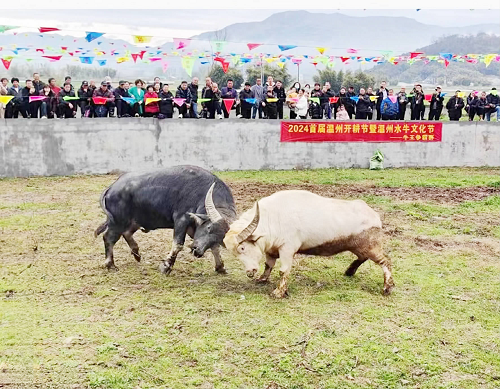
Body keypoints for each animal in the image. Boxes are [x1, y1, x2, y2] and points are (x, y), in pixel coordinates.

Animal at [94, 164, 237, 272]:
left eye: (221, 237)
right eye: (208, 227)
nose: (197, 251)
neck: (201, 195)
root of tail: (111, 188)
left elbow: (215, 248)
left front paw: (220, 267)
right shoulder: (181, 220)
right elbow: (178, 244)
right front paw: (166, 266)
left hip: (133, 221)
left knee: (127, 233)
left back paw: (136, 253)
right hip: (118, 222)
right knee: (108, 237)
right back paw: (110, 264)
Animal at [224, 190, 394, 298]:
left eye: (242, 247)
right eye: (235, 253)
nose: (250, 272)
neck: (272, 218)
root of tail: (373, 215)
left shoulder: (287, 250)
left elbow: (283, 271)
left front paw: (279, 293)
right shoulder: (271, 250)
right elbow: (269, 265)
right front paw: (262, 279)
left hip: (370, 246)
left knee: (385, 261)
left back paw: (387, 287)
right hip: (358, 246)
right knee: (363, 258)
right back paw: (349, 271)